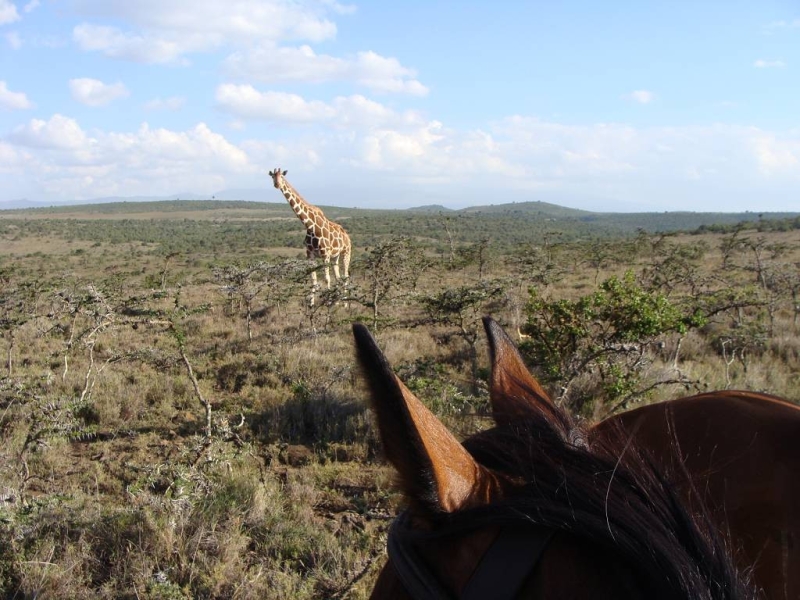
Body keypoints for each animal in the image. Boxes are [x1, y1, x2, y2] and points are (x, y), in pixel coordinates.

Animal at [268, 169, 350, 304]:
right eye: (273, 177)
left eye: (282, 177)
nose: (277, 184)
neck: (310, 226)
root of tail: (347, 236)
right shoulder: (310, 254)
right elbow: (314, 279)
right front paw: (311, 303)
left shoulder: (325, 254)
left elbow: (327, 278)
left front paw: (328, 302)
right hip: (335, 256)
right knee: (338, 277)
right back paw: (338, 301)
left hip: (346, 252)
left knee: (346, 276)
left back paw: (345, 302)